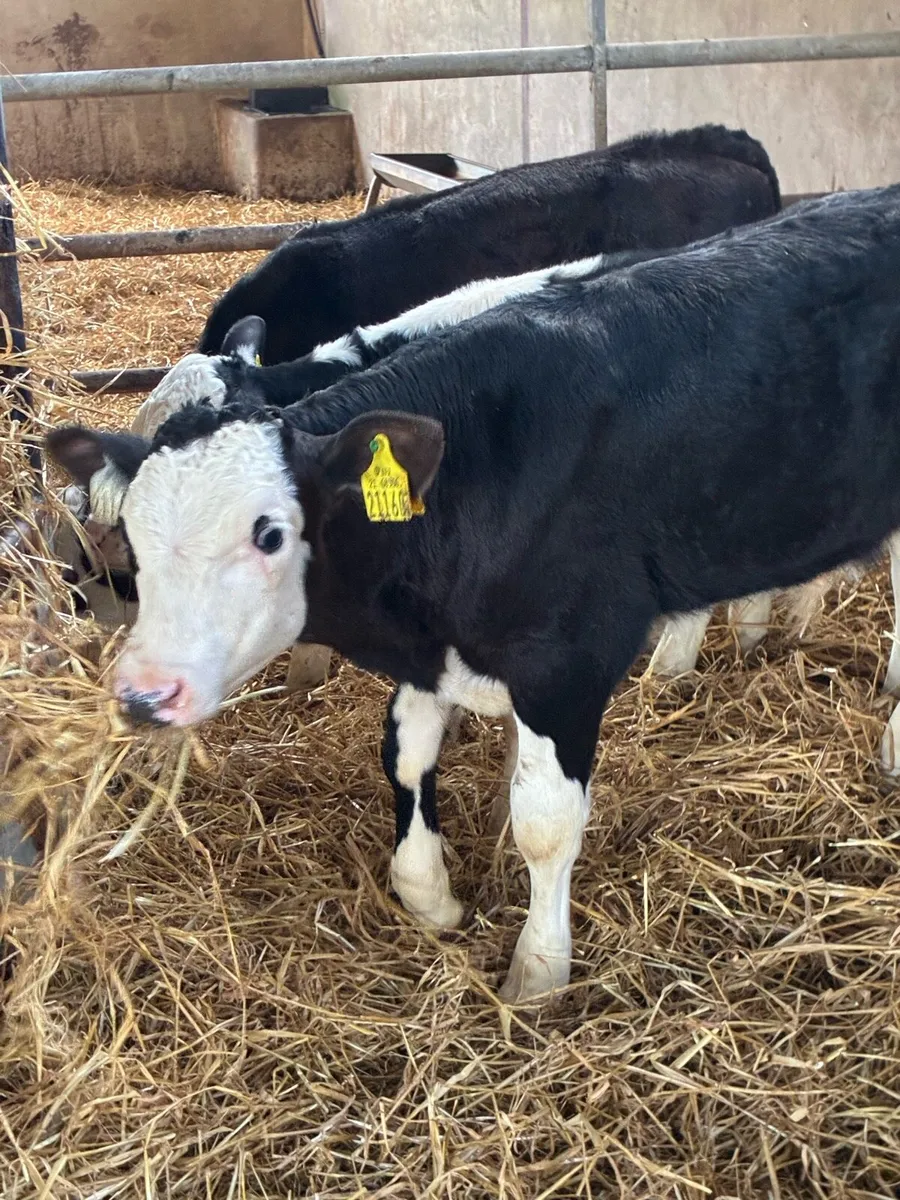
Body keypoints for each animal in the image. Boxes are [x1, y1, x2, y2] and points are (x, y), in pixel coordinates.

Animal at [47, 182, 900, 1004]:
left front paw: (538, 971)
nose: (143, 693)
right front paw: (433, 893)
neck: (480, 460)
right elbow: (406, 756)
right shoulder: (437, 646)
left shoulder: (566, 662)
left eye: (270, 534)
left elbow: (546, 820)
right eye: (139, 535)